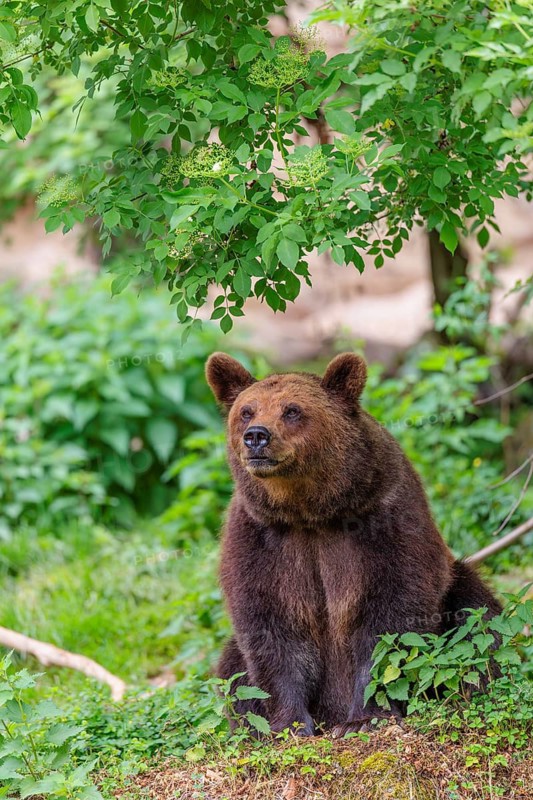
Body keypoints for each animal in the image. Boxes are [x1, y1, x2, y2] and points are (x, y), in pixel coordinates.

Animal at [206, 351, 502, 737]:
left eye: (292, 410)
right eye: (246, 411)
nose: (256, 436)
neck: (311, 513)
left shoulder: (382, 518)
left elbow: (389, 620)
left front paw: (364, 717)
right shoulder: (261, 537)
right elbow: (271, 628)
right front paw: (290, 723)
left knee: (474, 616)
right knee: (232, 670)